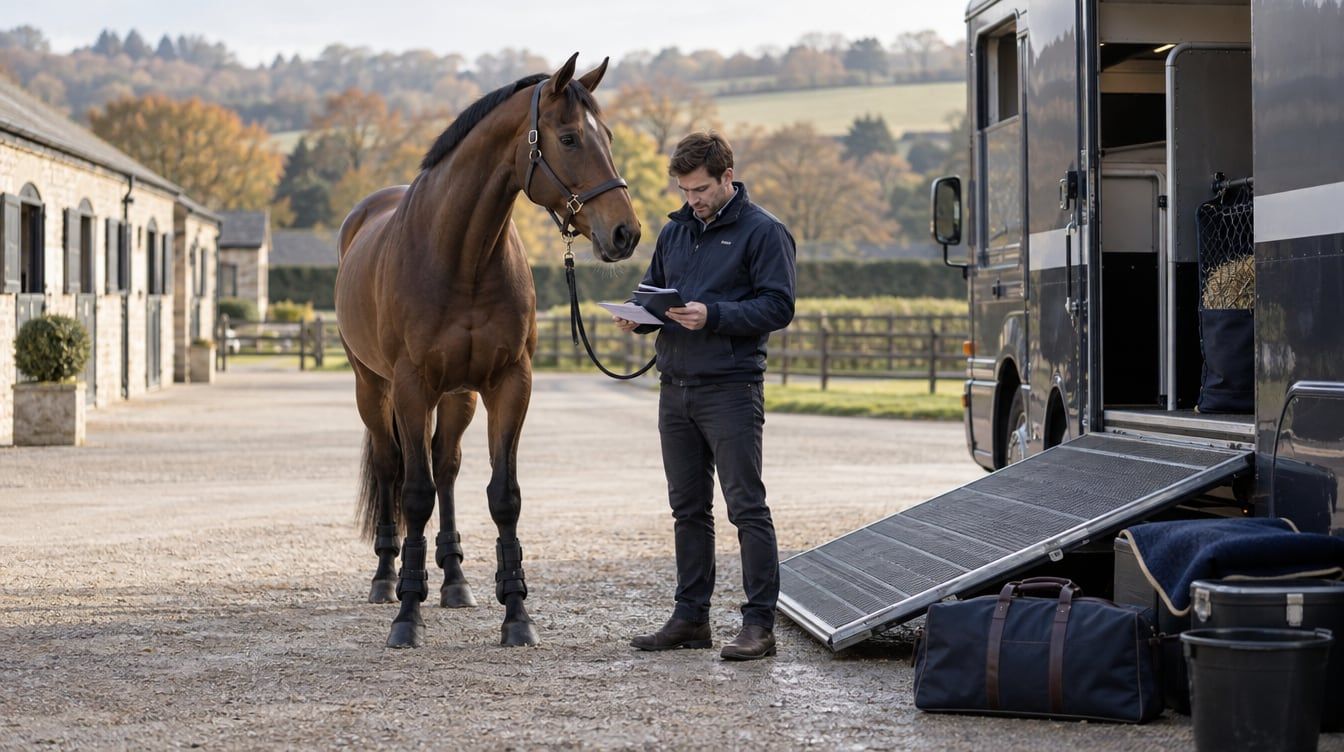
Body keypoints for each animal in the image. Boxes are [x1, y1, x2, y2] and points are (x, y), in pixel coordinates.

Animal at [334, 54, 641, 648]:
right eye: (569, 137)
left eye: (610, 137)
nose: (625, 232)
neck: (461, 255)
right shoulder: (410, 387)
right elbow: (414, 495)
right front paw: (407, 615)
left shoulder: (509, 385)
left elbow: (504, 496)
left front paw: (516, 614)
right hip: (372, 388)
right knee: (390, 468)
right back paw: (385, 578)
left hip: (458, 396)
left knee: (446, 466)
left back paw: (454, 580)